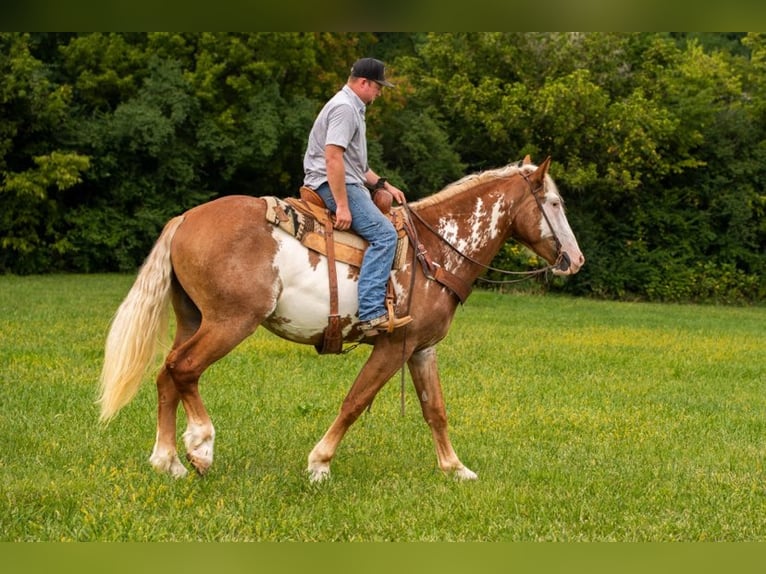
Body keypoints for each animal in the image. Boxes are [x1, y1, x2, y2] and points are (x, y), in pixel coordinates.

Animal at [99, 155, 584, 484]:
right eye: (555, 203)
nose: (575, 259)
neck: (436, 248)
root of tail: (184, 219)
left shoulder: (421, 349)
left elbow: (435, 410)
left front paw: (455, 468)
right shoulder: (393, 346)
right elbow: (355, 401)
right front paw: (319, 463)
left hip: (192, 320)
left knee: (167, 375)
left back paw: (167, 460)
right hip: (228, 323)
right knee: (184, 370)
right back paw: (200, 447)